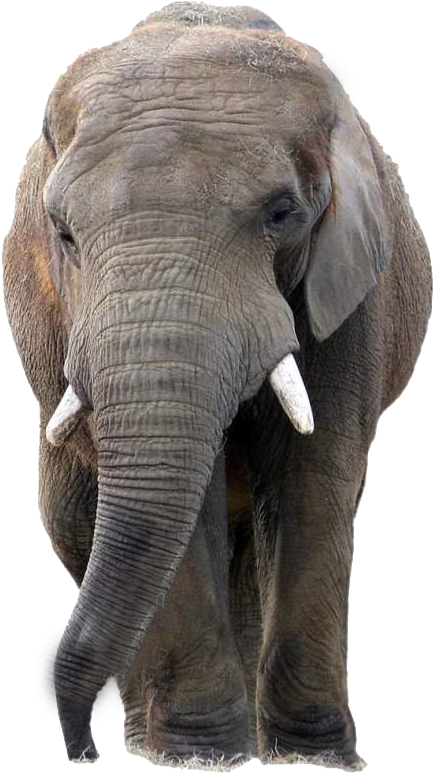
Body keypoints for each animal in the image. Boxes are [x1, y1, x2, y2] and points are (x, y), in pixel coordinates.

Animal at [3, 2, 431, 770]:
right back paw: (150, 729)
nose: (81, 748)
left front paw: (313, 756)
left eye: (282, 213)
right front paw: (196, 754)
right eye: (62, 232)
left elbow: (313, 475)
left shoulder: (353, 288)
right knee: (77, 519)